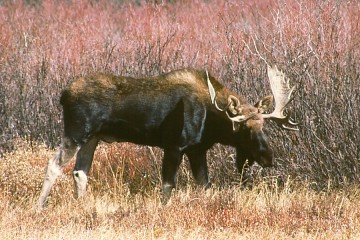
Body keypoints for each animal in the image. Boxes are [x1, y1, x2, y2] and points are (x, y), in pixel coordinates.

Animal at [38, 65, 298, 208]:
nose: (267, 157)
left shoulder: (197, 150)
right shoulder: (174, 146)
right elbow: (167, 186)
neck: (211, 120)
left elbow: (205, 185)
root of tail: (63, 94)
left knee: (80, 172)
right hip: (76, 132)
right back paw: (39, 207)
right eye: (244, 128)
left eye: (263, 125)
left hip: (92, 137)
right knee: (53, 166)